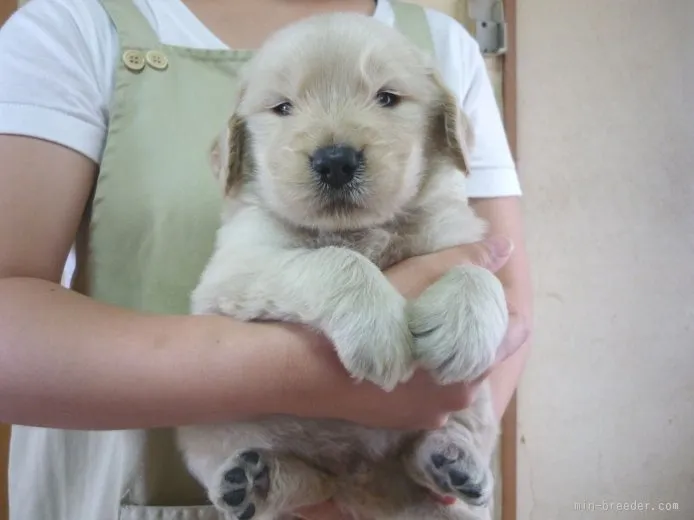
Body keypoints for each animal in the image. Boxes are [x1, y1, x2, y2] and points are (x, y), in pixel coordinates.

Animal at [177, 11, 508, 520]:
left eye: (387, 98)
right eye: (283, 107)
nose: (335, 161)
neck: (361, 229)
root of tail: (359, 478)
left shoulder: (455, 235)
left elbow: (480, 273)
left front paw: (466, 325)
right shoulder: (236, 267)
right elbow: (333, 260)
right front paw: (377, 327)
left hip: (476, 406)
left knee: (434, 450)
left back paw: (452, 460)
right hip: (211, 422)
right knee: (298, 480)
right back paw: (253, 480)